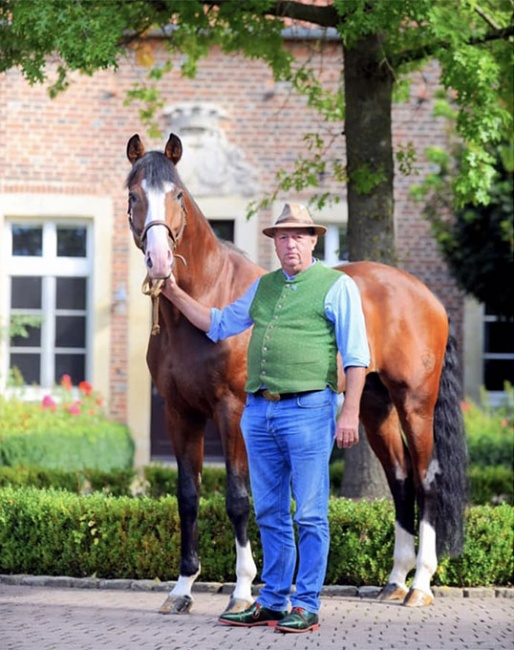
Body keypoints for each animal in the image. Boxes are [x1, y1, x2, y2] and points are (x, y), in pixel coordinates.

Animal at [125, 133, 468, 612]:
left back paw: (419, 585)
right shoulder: (180, 414)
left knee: (426, 480)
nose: (159, 262)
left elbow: (237, 497)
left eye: (176, 194)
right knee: (400, 482)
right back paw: (395, 581)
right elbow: (188, 497)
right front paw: (181, 589)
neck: (208, 298)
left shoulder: (232, 411)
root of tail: (426, 296)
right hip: (375, 407)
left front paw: (242, 590)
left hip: (416, 404)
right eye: (134, 196)